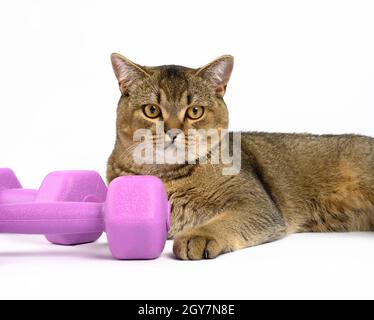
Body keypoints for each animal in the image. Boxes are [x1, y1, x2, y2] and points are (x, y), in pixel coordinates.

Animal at [106, 53, 374, 260]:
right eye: (152, 110)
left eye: (195, 111)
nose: (173, 132)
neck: (167, 175)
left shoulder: (259, 206)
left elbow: (224, 221)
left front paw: (199, 236)